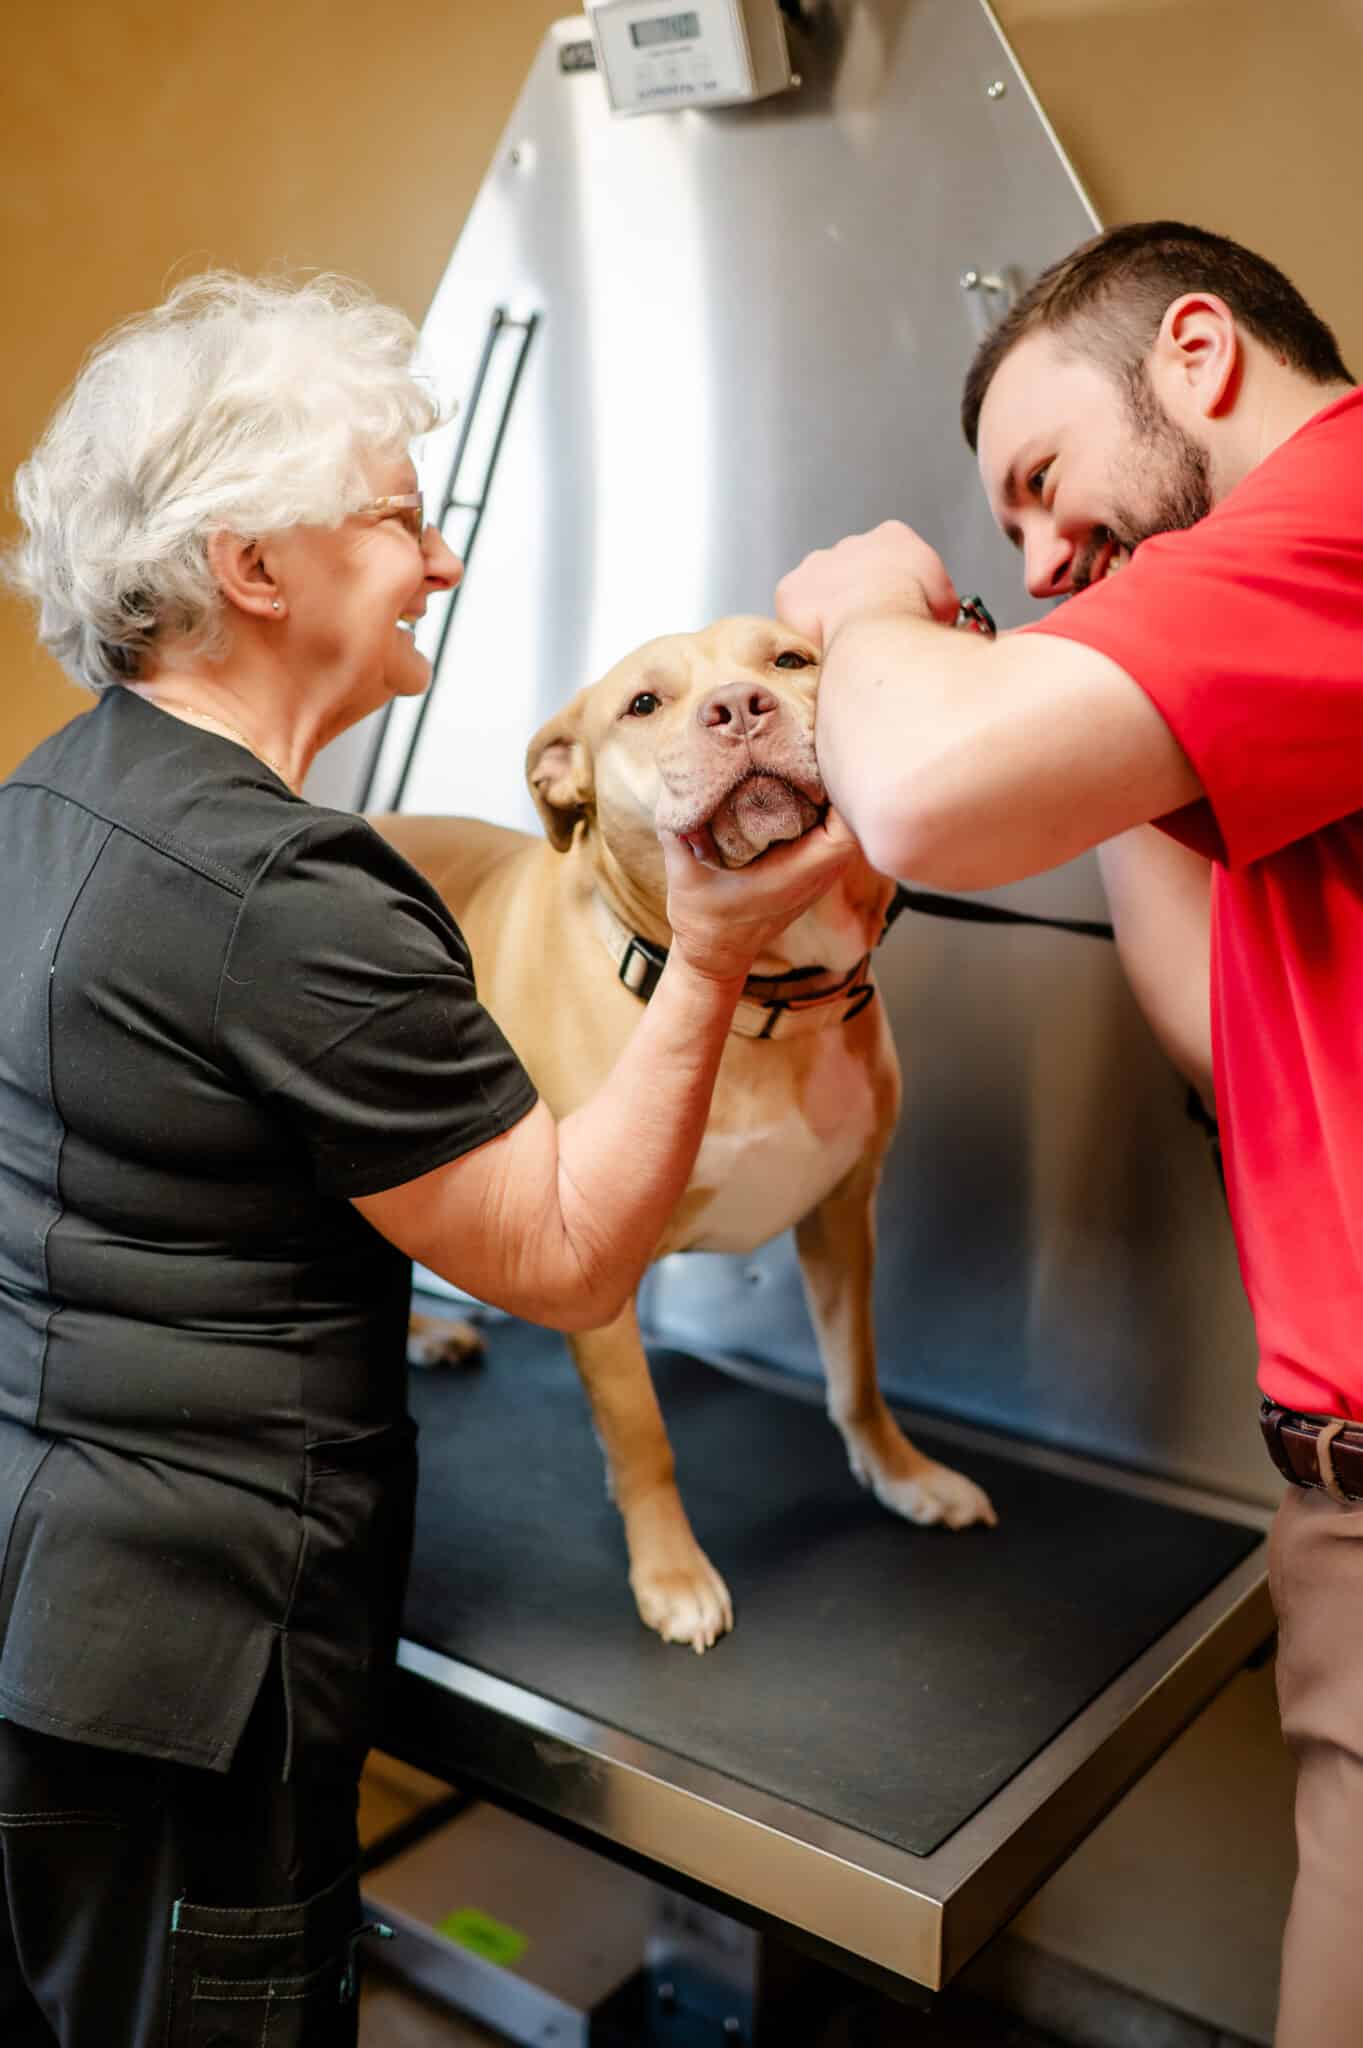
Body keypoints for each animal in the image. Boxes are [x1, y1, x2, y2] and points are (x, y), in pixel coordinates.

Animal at [368, 618, 986, 1646]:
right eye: (643, 705)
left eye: (788, 661)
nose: (737, 708)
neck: (758, 999)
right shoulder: (597, 1280)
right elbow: (641, 1436)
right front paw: (671, 1575)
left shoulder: (841, 1215)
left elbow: (854, 1375)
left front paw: (904, 1477)